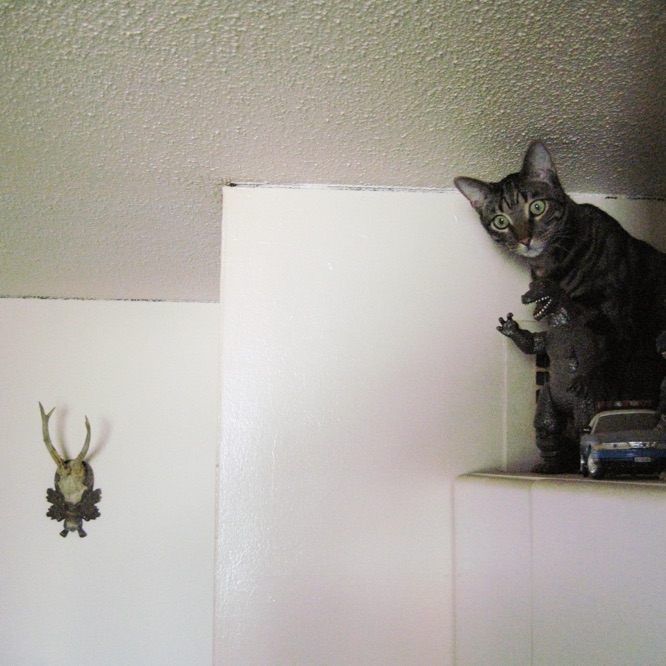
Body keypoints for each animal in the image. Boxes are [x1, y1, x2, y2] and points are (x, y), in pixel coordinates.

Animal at [454, 141, 664, 402]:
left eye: (537, 207)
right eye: (500, 221)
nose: (525, 239)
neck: (552, 264)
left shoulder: (617, 315)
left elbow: (607, 363)